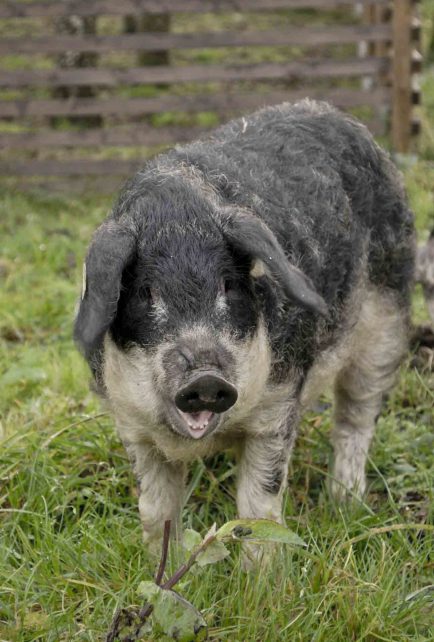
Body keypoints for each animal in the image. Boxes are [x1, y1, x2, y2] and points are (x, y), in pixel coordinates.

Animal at [74, 100, 414, 551]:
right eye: (145, 293)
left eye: (229, 285)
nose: (204, 376)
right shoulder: (131, 424)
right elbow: (156, 510)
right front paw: (163, 566)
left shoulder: (278, 405)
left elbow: (258, 510)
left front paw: (263, 570)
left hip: (387, 326)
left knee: (356, 419)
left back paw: (346, 505)